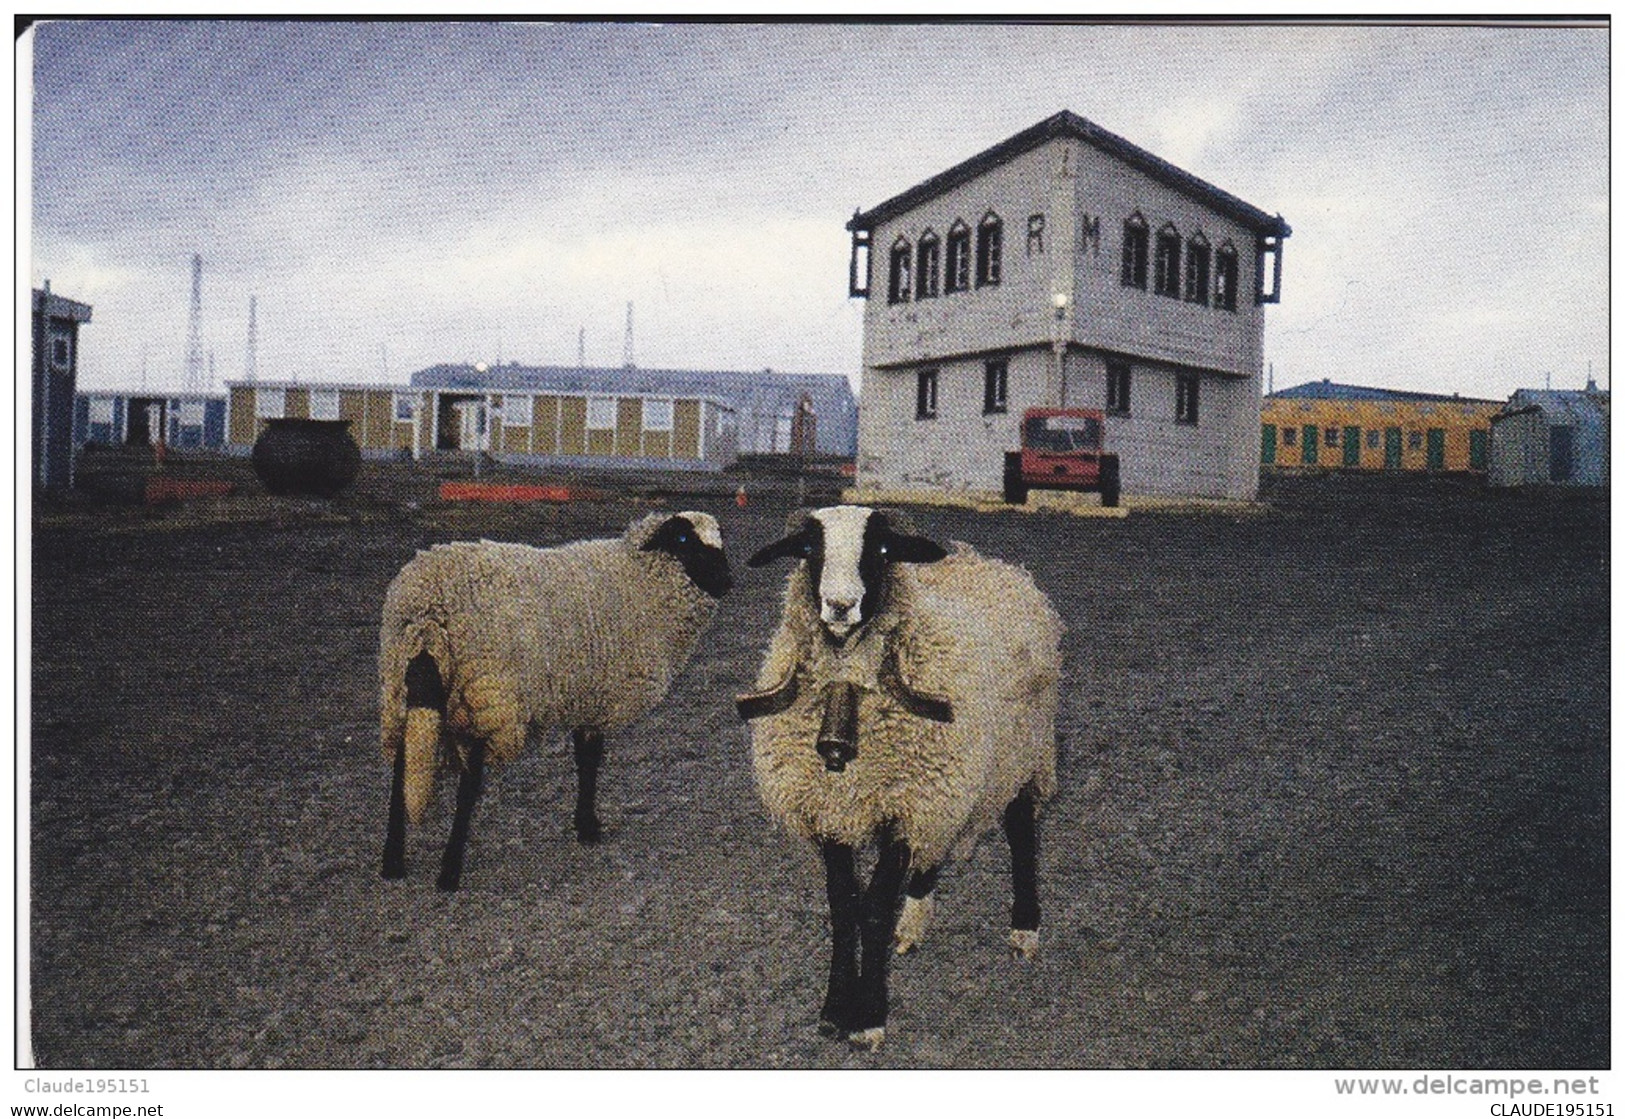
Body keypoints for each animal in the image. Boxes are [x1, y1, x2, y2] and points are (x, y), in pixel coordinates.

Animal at [373, 513, 731, 890]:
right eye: (682, 539)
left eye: (719, 541)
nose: (727, 582)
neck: (640, 578)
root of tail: (427, 611)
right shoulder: (598, 696)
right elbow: (590, 759)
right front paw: (588, 827)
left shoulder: (586, 696)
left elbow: (585, 758)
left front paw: (584, 823)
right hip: (487, 697)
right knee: (468, 786)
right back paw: (449, 871)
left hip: (400, 689)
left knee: (403, 769)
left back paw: (393, 861)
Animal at [741, 506, 1066, 1045]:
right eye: (810, 548)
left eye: (880, 549)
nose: (840, 605)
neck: (848, 686)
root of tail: (991, 564)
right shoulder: (835, 806)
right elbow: (843, 906)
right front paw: (835, 1007)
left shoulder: (904, 804)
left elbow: (873, 909)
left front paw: (869, 1017)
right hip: (953, 782)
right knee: (937, 842)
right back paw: (914, 918)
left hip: (1023, 753)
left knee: (1022, 832)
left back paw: (1024, 928)